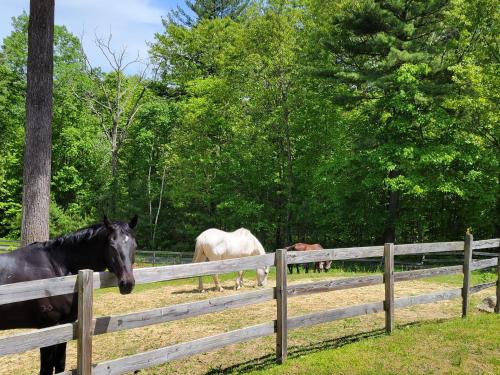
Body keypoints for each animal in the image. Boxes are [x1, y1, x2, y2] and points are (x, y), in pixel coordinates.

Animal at [0, 216, 138, 374]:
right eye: (112, 245)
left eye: (135, 246)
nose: (127, 283)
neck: (57, 266)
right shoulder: (48, 328)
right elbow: (46, 369)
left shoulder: (64, 325)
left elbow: (60, 364)